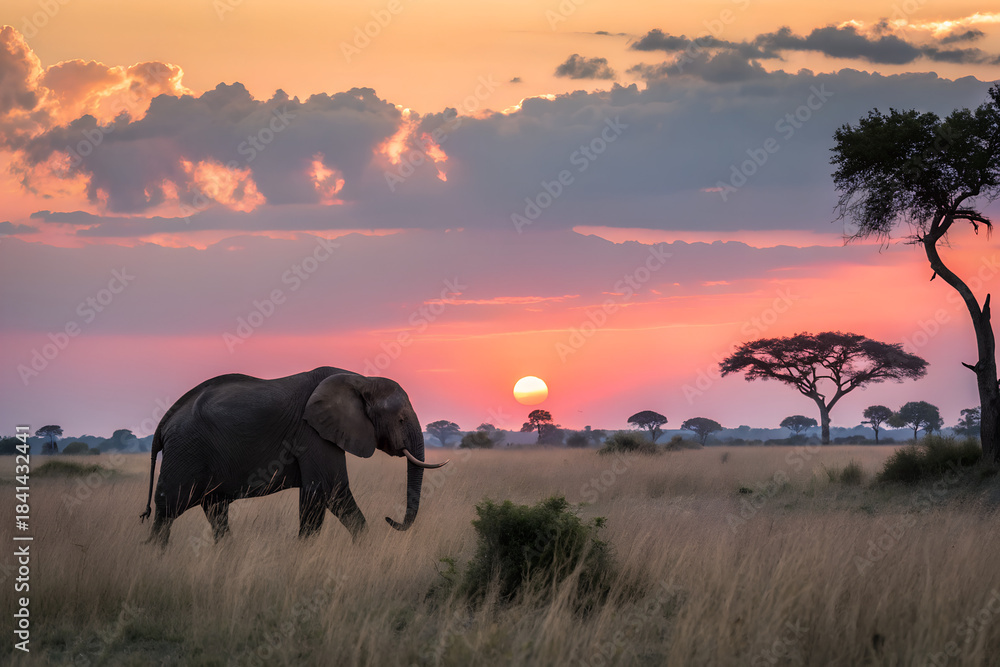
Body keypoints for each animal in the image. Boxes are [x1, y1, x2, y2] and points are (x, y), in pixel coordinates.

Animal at [139, 367, 447, 547]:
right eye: (401, 419)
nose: (389, 519)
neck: (360, 379)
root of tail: (164, 422)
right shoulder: (311, 431)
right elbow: (328, 488)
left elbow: (320, 492)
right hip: (187, 451)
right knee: (169, 508)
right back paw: (156, 555)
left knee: (215, 508)